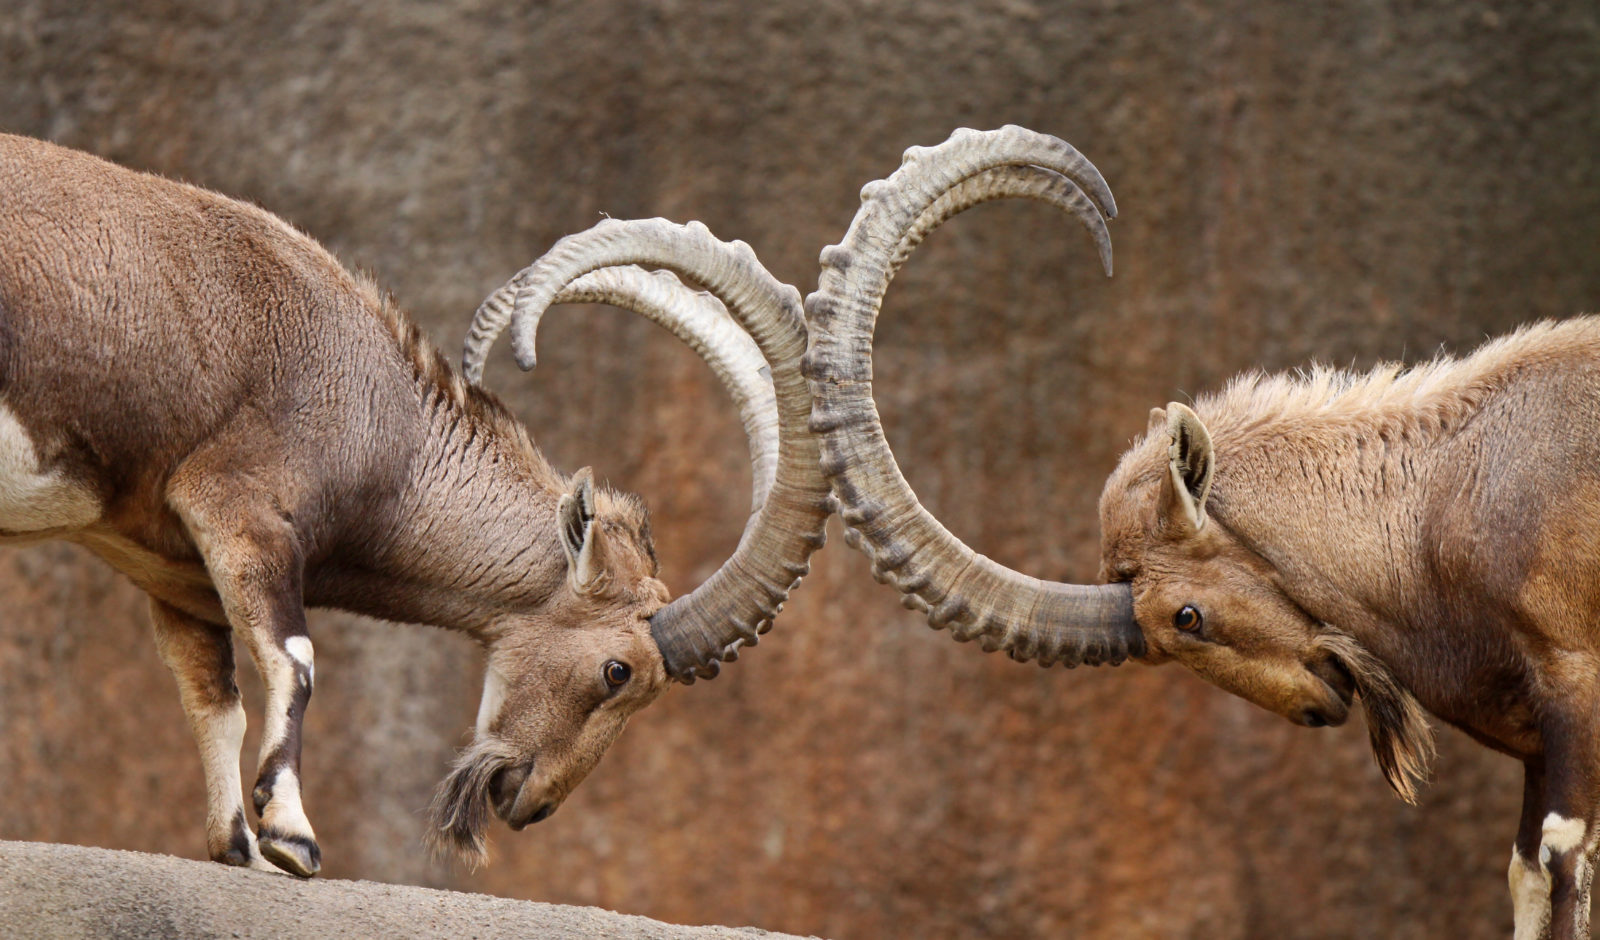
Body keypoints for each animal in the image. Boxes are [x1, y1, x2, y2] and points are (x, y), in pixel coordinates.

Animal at [0, 135, 832, 876]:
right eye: (619, 671)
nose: (527, 801)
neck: (392, 430)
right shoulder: (238, 508)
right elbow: (296, 661)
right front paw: (293, 840)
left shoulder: (172, 572)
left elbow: (215, 702)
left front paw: (237, 847)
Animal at [812, 124, 1600, 940]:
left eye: (1185, 615)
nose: (1319, 706)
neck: (1442, 488)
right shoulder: (1539, 740)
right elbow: (1525, 870)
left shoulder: (1573, 681)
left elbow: (1560, 856)